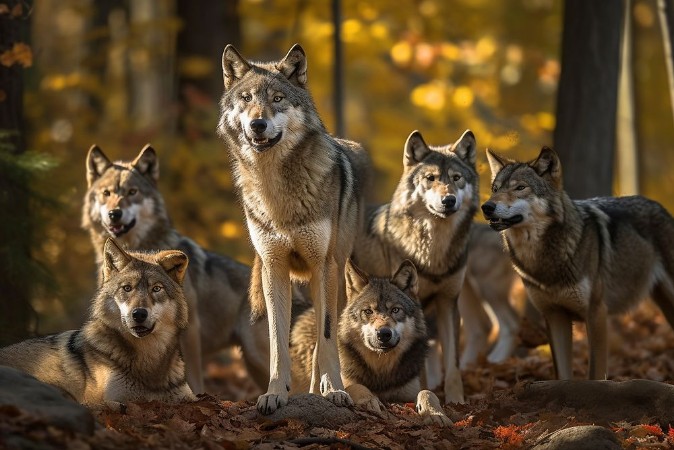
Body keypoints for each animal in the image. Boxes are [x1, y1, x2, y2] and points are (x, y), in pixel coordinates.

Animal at [0, 239, 196, 409]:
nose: (139, 314)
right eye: (127, 288)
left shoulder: (188, 397)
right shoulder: (106, 399)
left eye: (156, 289)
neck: (149, 359)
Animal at [82, 145, 274, 394]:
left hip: (257, 355)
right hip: (254, 365)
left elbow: (192, 377)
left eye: (132, 192)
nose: (115, 213)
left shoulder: (190, 331)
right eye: (106, 193)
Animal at [217, 44, 370, 414]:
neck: (277, 192)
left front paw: (334, 390)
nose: (258, 124)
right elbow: (277, 340)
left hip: (333, 276)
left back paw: (322, 390)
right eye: (246, 98)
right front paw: (275, 393)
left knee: (323, 337)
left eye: (277, 99)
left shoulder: (323, 266)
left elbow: (326, 339)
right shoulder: (274, 268)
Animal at [290, 260, 451, 426]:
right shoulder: (344, 382)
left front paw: (436, 414)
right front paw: (370, 400)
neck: (381, 372)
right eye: (368, 311)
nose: (384, 333)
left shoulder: (408, 392)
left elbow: (428, 392)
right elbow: (356, 386)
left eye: (395, 310)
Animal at [481, 146, 674, 380]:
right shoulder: (554, 317)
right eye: (495, 189)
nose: (486, 206)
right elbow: (563, 375)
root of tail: (659, 206)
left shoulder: (597, 314)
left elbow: (595, 374)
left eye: (520, 187)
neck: (544, 260)